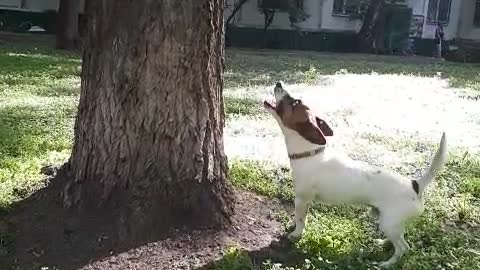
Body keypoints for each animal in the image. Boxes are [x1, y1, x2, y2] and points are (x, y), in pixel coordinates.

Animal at [262, 81, 446, 266]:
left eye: (295, 102)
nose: (279, 83)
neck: (310, 152)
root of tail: (416, 185)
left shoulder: (303, 199)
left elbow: (300, 220)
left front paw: (295, 234)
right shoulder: (299, 200)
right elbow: (295, 217)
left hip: (389, 222)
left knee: (403, 247)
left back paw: (387, 263)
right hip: (390, 222)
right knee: (399, 238)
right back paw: (382, 243)